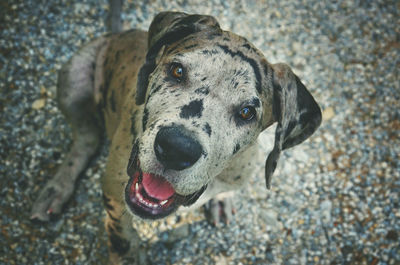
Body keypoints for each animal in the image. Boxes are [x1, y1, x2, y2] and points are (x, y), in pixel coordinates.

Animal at [31, 11, 322, 262]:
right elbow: (123, 239)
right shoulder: (113, 193)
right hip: (73, 77)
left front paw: (222, 199)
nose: (176, 149)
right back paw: (56, 189)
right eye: (177, 71)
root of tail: (117, 33)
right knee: (85, 139)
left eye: (247, 112)